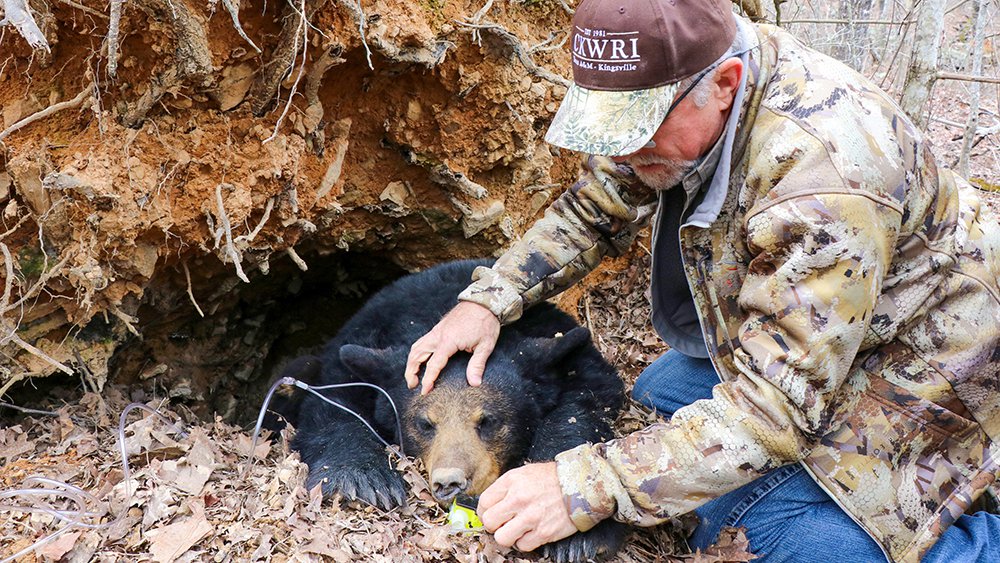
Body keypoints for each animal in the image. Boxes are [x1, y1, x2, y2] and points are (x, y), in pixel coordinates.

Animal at [288, 262, 624, 563]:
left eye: (488, 420)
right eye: (424, 424)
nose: (449, 483)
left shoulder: (575, 359)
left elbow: (582, 405)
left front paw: (576, 532)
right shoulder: (356, 349)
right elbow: (332, 403)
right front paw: (363, 480)